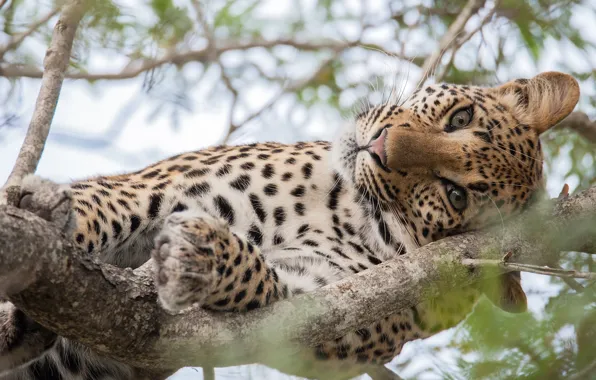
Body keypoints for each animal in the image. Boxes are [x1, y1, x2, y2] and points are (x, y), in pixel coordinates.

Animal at [0, 72, 580, 380]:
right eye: (458, 119)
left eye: (454, 193)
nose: (381, 145)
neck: (343, 207)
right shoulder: (158, 189)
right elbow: (103, 206)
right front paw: (46, 211)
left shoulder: (318, 315)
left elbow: (261, 280)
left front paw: (201, 255)